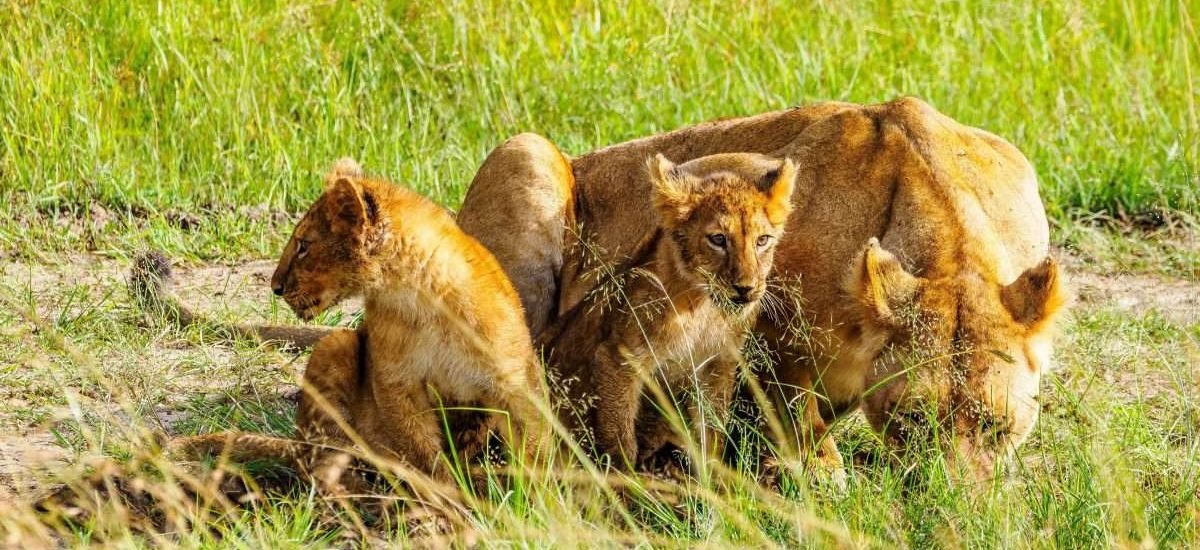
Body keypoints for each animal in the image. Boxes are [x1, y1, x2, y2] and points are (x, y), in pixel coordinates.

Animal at [153, 158, 548, 488]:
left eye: (304, 245)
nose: (275, 287)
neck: (420, 297)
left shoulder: (514, 380)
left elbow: (533, 444)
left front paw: (534, 499)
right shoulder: (396, 384)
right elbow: (423, 454)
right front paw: (445, 497)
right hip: (336, 345)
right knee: (315, 456)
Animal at [541, 152, 796, 470]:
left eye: (762, 241)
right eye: (718, 239)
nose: (745, 288)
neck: (704, 309)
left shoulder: (717, 366)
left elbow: (712, 432)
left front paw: (713, 477)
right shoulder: (618, 357)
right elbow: (619, 432)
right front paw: (625, 478)